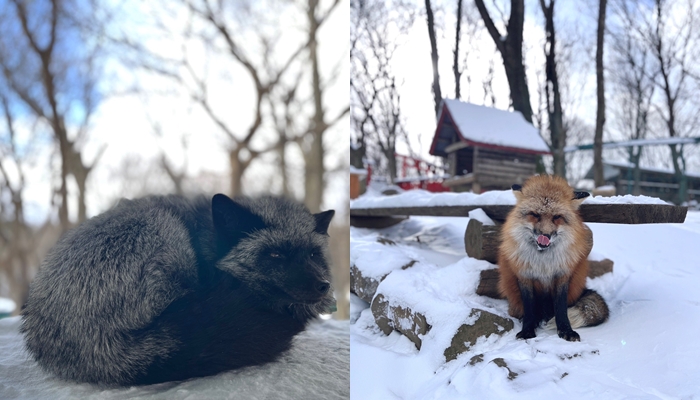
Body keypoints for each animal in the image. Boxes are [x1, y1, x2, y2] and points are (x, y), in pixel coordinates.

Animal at [498, 175, 608, 340]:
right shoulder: (525, 276)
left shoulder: (562, 276)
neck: (543, 262)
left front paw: (565, 330)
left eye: (557, 217)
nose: (545, 236)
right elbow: (529, 309)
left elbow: (561, 309)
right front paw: (528, 330)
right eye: (535, 214)